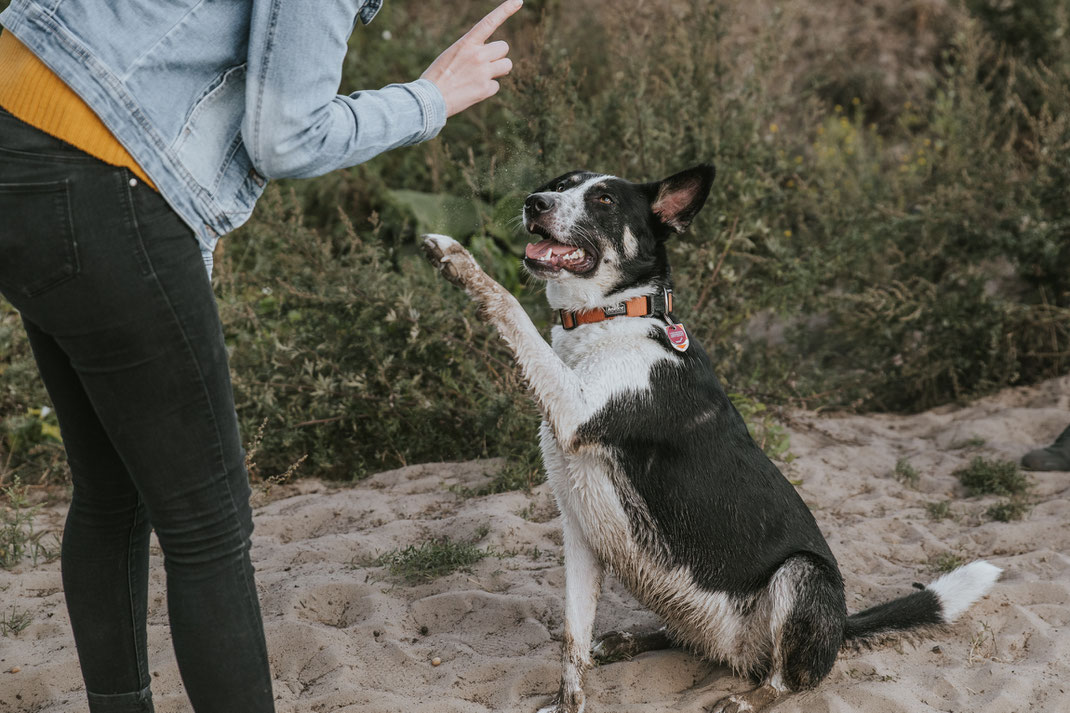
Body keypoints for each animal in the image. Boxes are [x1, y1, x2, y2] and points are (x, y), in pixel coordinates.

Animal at [419, 163, 1001, 706]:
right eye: (560, 185)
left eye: (604, 200)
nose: (534, 202)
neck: (611, 316)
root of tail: (839, 631)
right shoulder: (580, 527)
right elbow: (572, 639)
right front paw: (567, 703)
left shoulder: (576, 409)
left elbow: (509, 306)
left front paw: (457, 259)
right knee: (682, 637)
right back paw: (630, 641)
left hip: (803, 577)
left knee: (789, 681)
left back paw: (746, 698)